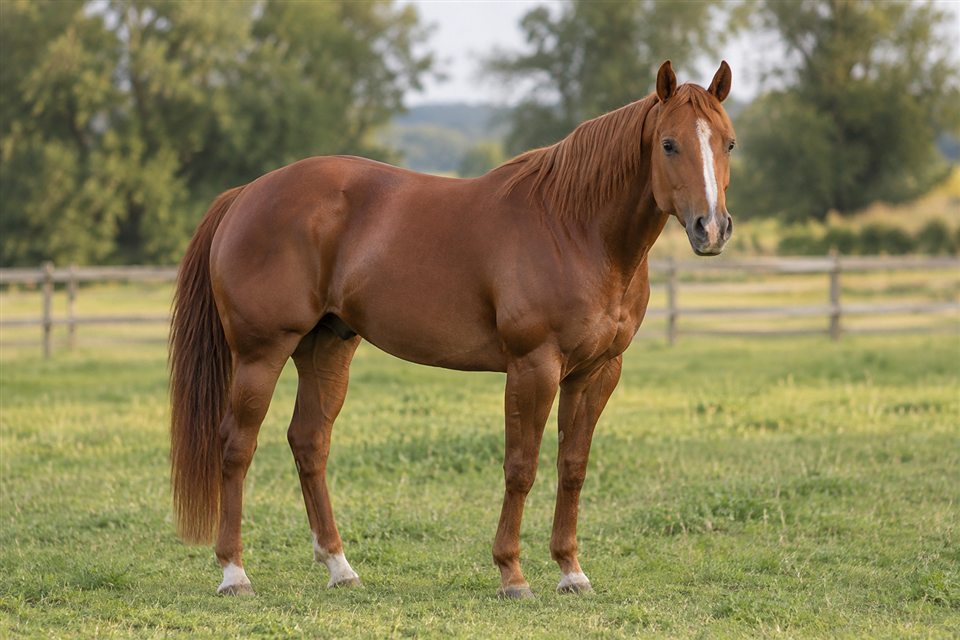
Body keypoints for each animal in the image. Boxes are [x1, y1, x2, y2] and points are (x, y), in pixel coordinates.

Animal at [169, 60, 736, 598]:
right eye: (668, 144)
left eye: (728, 142)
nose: (711, 229)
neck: (575, 229)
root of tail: (248, 192)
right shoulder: (533, 367)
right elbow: (521, 467)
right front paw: (512, 574)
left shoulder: (597, 372)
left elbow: (572, 467)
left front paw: (571, 571)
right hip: (260, 354)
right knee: (236, 446)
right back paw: (234, 573)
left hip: (326, 347)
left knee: (309, 442)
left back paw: (339, 567)